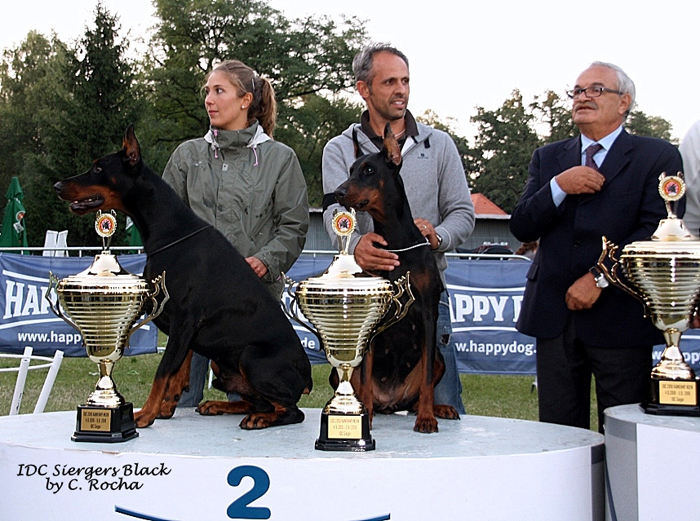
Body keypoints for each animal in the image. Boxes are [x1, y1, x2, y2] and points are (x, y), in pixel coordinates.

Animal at [54, 126, 312, 430]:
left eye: (98, 167)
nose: (57, 186)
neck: (171, 231)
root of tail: (307, 378)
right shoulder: (186, 329)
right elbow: (178, 372)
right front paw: (166, 408)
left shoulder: (185, 320)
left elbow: (162, 372)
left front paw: (145, 415)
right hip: (222, 363)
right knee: (258, 400)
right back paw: (220, 405)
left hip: (251, 357)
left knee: (291, 410)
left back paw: (259, 419)